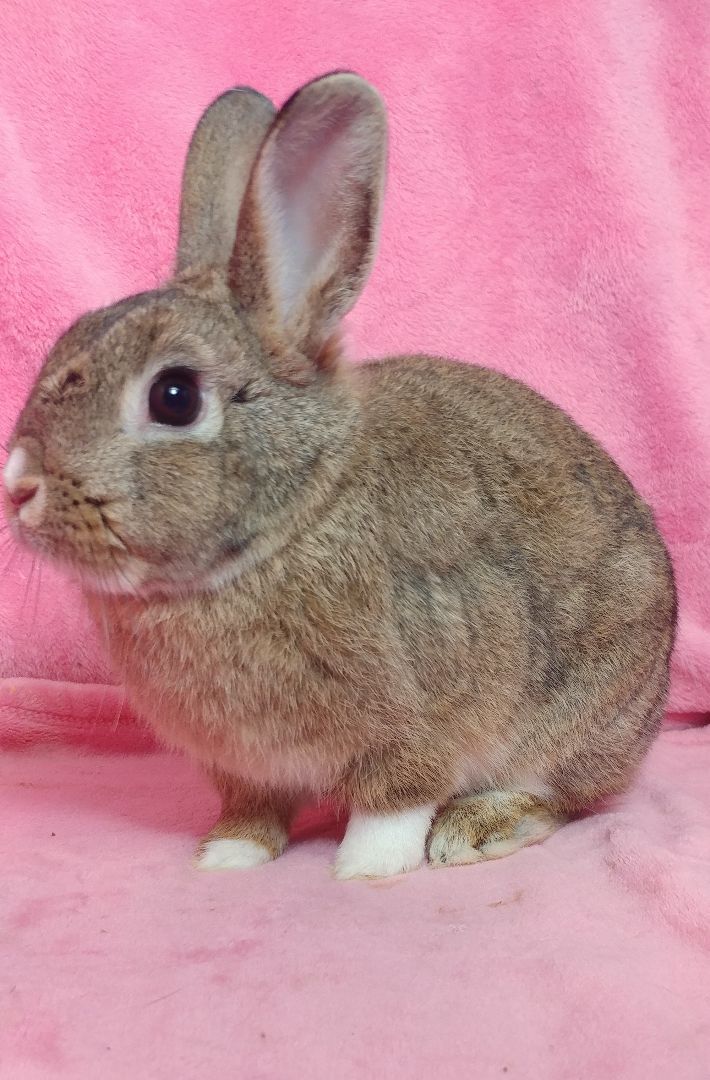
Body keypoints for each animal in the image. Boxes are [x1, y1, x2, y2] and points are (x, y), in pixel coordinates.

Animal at [3, 72, 676, 879]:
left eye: (174, 397)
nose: (19, 485)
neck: (289, 523)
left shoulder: (416, 716)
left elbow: (397, 799)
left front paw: (367, 869)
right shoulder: (245, 766)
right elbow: (253, 808)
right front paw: (227, 855)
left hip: (577, 717)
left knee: (561, 796)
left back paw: (475, 829)